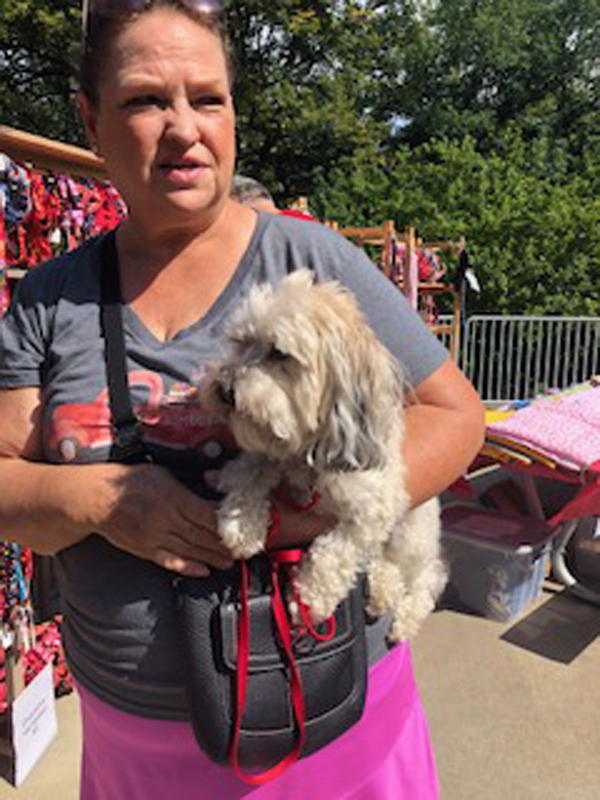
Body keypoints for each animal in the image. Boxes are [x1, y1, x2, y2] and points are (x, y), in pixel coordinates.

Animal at [204, 269, 446, 641]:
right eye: (241, 341)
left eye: (279, 353)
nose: (223, 389)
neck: (309, 451)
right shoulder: (271, 454)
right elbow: (249, 470)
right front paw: (243, 522)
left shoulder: (374, 509)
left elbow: (334, 552)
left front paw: (309, 600)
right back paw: (382, 591)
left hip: (412, 534)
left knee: (425, 579)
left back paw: (404, 617)